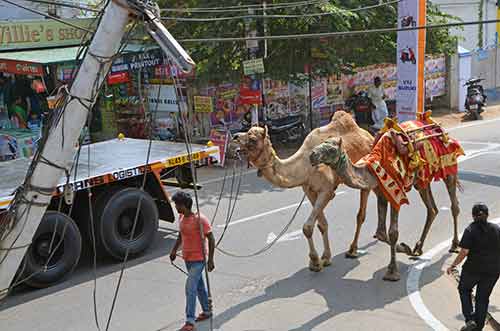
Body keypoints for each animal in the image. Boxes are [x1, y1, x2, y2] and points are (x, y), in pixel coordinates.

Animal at [234, 111, 376, 272]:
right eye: (247, 132)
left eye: (252, 139)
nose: (235, 136)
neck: (306, 167)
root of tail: (369, 135)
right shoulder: (309, 191)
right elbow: (322, 224)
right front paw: (325, 258)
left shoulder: (327, 191)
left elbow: (307, 227)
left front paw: (315, 262)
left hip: (365, 173)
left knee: (361, 214)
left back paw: (353, 250)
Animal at [308, 118, 464, 282]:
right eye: (321, 143)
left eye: (331, 149)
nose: (312, 155)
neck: (372, 168)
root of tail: (442, 130)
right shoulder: (382, 193)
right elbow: (381, 233)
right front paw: (405, 248)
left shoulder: (397, 193)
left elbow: (393, 232)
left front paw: (392, 272)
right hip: (422, 180)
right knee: (432, 209)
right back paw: (418, 248)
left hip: (449, 167)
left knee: (454, 205)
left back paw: (454, 245)